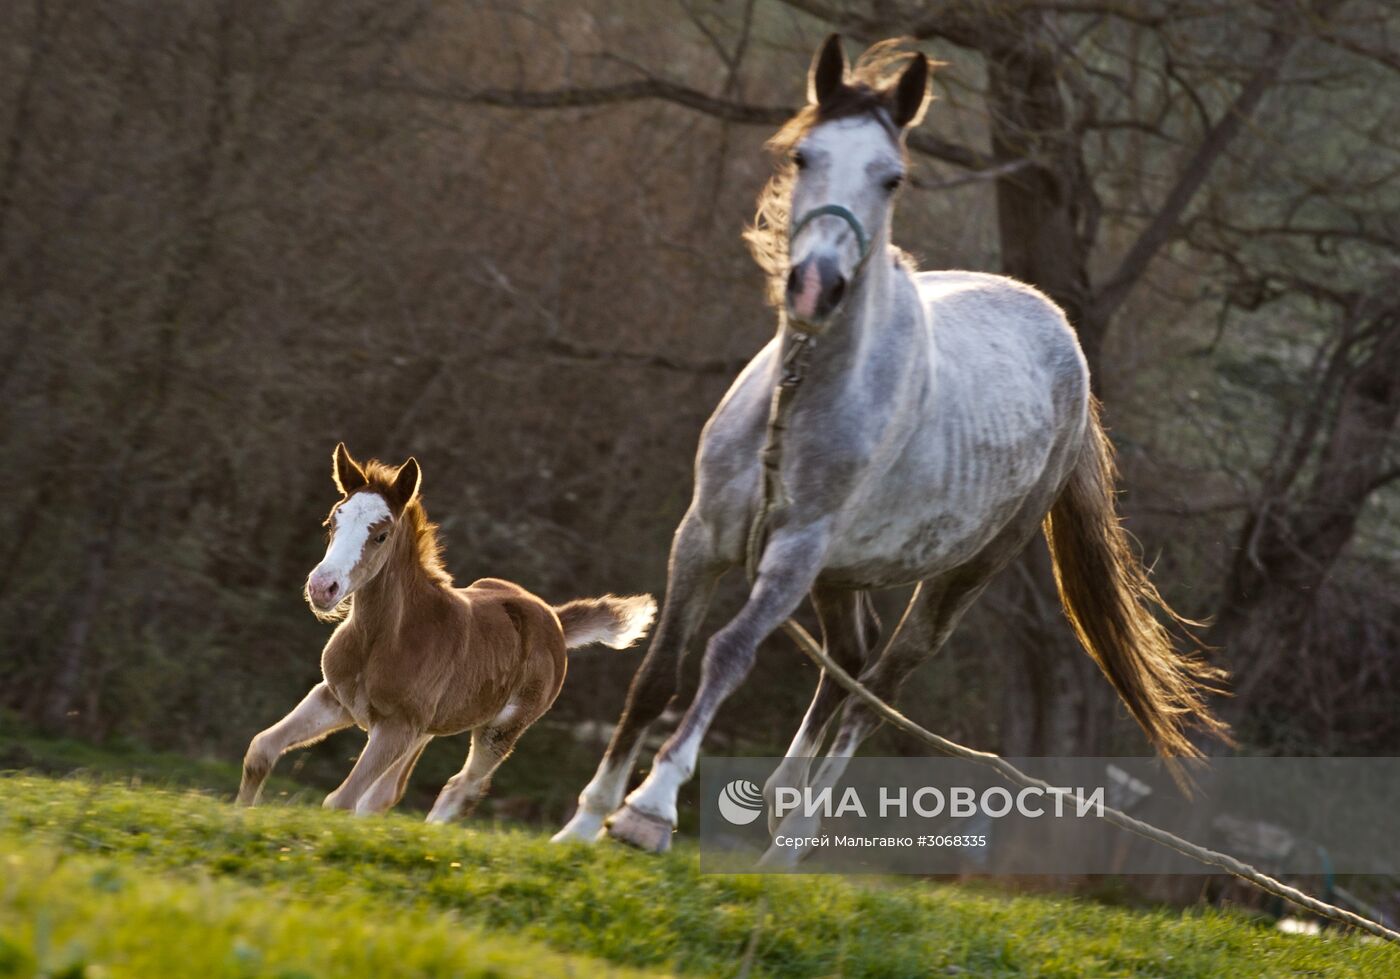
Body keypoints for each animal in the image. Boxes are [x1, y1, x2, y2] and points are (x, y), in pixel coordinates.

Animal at [239, 448, 655, 823]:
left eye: (381, 535)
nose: (322, 588)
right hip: (427, 728)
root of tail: (553, 618)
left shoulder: (396, 726)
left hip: (499, 731)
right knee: (385, 794)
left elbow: (341, 800)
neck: (385, 638)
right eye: (331, 524)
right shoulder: (335, 698)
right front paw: (241, 819)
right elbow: (261, 749)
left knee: (460, 788)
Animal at [551, 34, 1232, 857]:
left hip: (954, 580)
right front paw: (581, 824)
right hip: (842, 574)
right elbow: (658, 670)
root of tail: (1066, 343)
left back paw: (792, 839)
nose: (815, 287)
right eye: (805, 154)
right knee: (849, 658)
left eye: (892, 176)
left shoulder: (794, 554)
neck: (801, 396)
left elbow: (728, 653)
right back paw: (778, 801)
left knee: (873, 693)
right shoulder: (702, 538)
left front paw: (648, 811)